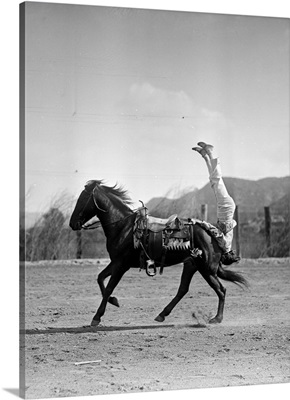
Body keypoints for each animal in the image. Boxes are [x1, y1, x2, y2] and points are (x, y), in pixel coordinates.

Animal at [69, 180, 247, 326]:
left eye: (83, 198)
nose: (72, 223)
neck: (123, 227)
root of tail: (213, 234)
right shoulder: (116, 263)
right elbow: (100, 279)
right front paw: (114, 301)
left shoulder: (121, 265)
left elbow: (108, 288)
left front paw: (97, 317)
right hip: (192, 265)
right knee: (183, 289)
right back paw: (162, 314)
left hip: (207, 269)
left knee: (221, 290)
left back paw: (217, 318)